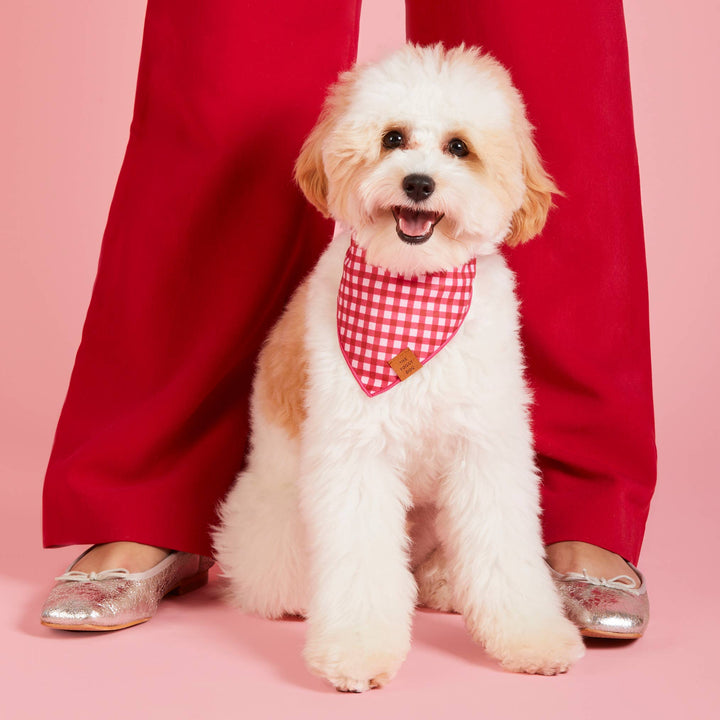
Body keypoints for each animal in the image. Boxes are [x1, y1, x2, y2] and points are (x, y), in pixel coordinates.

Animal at [214, 43, 584, 692]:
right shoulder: (356, 456)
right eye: (392, 138)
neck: (412, 302)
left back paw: (443, 584)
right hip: (279, 514)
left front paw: (532, 637)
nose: (418, 182)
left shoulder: (485, 448)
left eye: (459, 146)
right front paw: (357, 651)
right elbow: (361, 566)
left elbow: (505, 553)